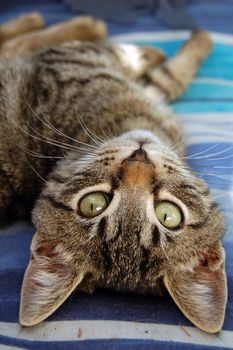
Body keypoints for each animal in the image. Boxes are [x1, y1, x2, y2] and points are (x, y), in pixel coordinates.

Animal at [0, 11, 227, 334]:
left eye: (167, 214)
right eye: (93, 204)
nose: (139, 159)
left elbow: (166, 78)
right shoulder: (66, 63)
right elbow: (146, 65)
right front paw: (188, 42)